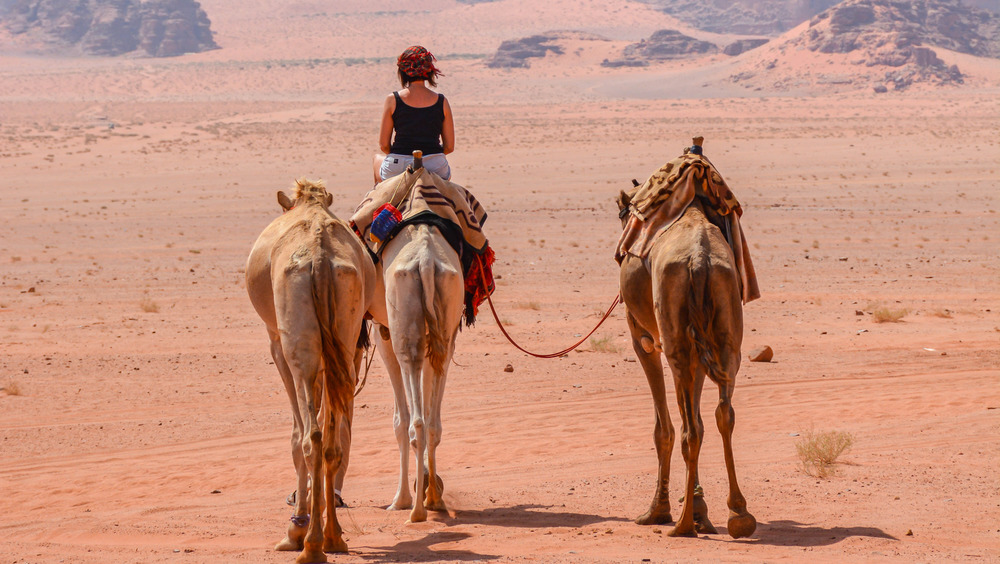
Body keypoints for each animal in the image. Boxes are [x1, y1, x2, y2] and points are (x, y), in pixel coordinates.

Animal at [246, 178, 376, 560]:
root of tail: (319, 256)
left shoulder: (277, 343)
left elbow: (295, 434)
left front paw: (295, 530)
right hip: (344, 338)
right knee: (331, 440)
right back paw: (333, 536)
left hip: (297, 344)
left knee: (310, 437)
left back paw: (307, 540)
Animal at [366, 220, 462, 524]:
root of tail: (427, 261)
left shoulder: (383, 333)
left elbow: (399, 420)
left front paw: (401, 499)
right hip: (446, 326)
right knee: (432, 422)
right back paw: (433, 498)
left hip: (402, 329)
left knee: (415, 421)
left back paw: (415, 508)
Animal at [616, 192, 756, 540]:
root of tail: (699, 261)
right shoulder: (701, 349)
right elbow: (700, 421)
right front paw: (700, 511)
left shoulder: (643, 338)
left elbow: (663, 429)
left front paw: (658, 511)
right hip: (726, 334)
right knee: (722, 415)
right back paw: (739, 514)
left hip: (675, 341)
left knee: (689, 428)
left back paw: (681, 525)